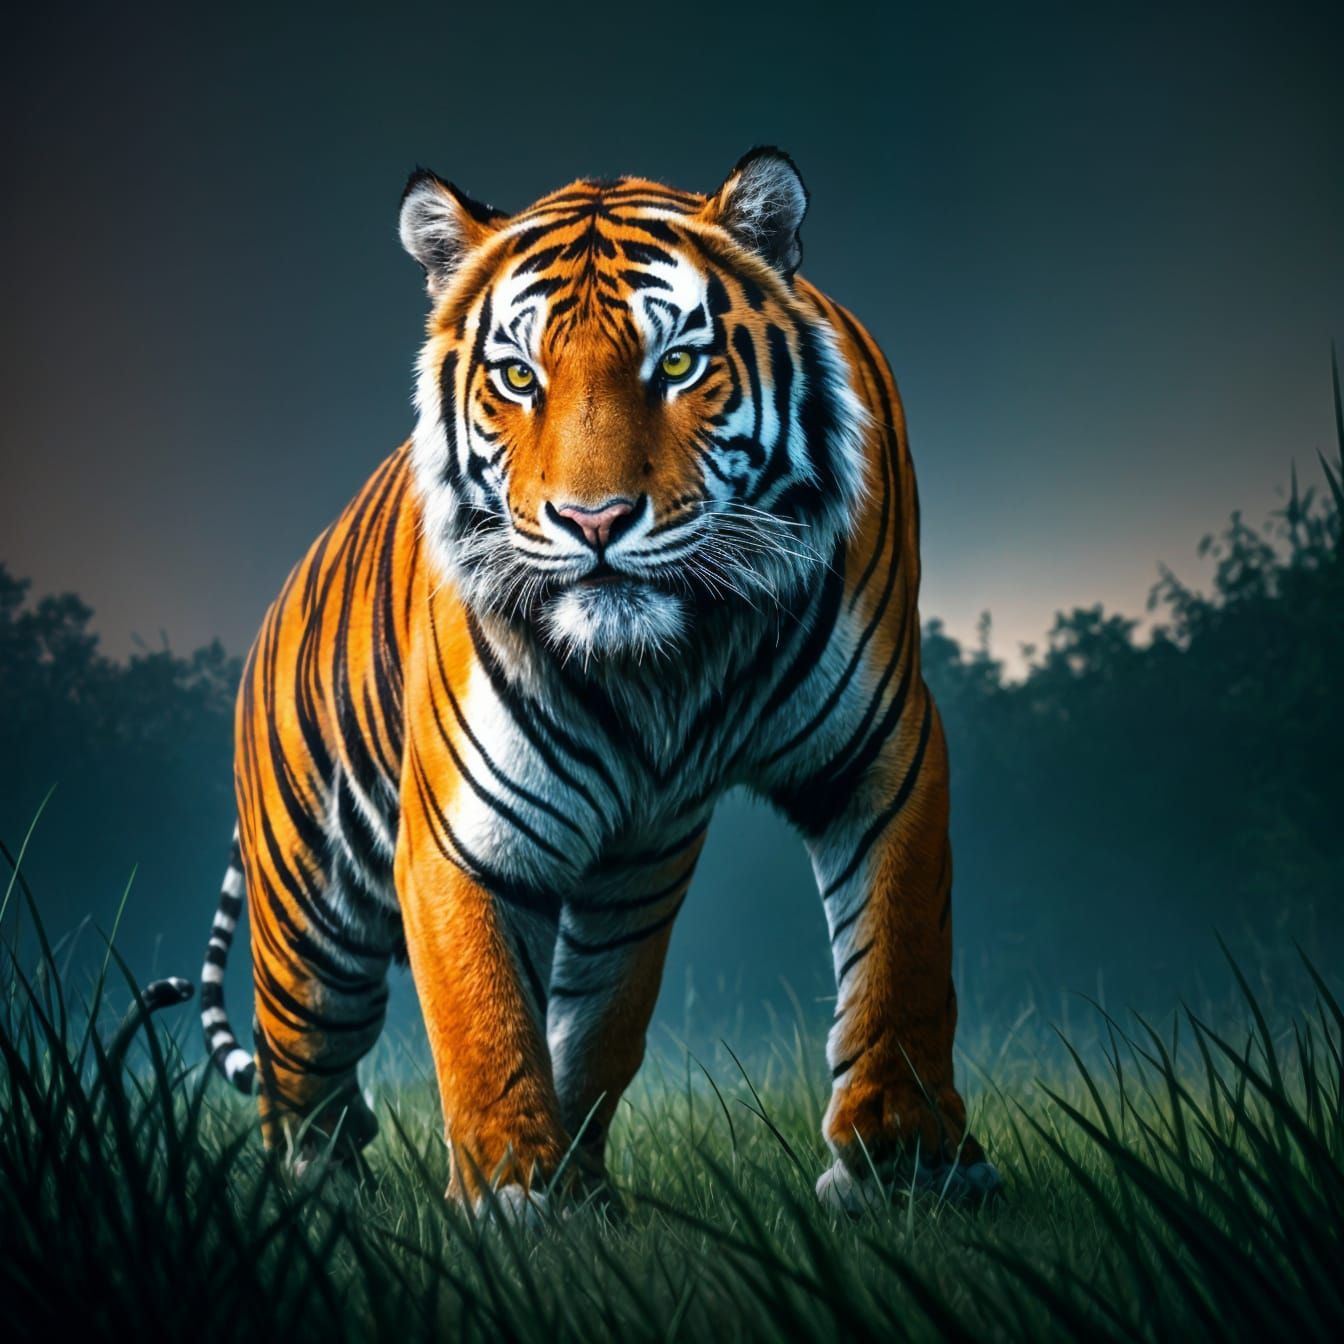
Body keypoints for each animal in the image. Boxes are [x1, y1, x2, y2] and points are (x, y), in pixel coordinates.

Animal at [173, 147, 1000, 1216]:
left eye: (679, 364)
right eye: (518, 378)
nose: (594, 521)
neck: (673, 662)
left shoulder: (883, 755)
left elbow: (900, 960)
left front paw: (905, 1164)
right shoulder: (461, 834)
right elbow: (484, 1022)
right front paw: (518, 1199)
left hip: (634, 877)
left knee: (593, 1013)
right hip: (310, 925)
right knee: (300, 1079)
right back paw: (326, 1200)